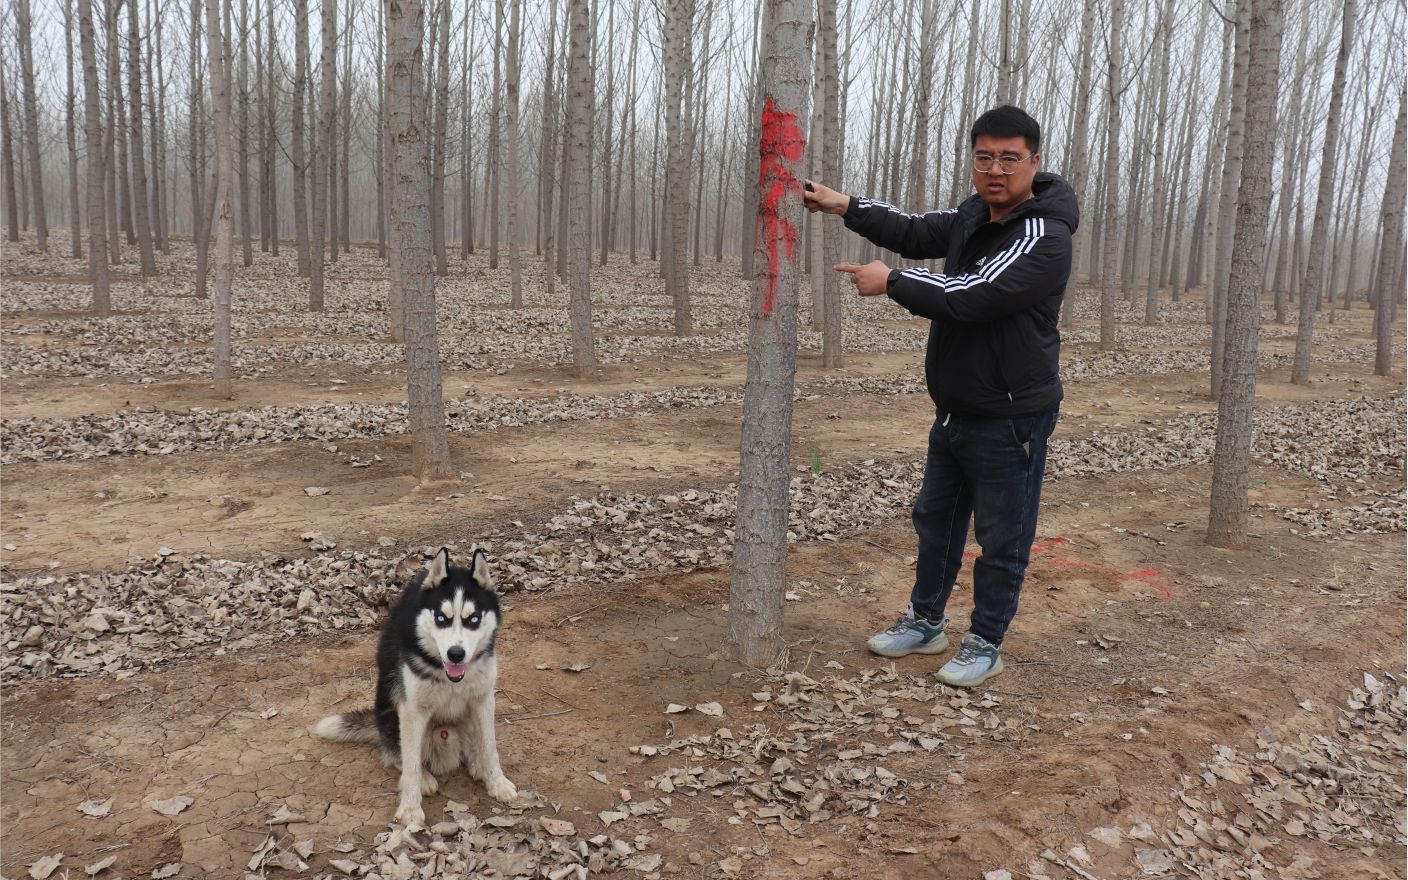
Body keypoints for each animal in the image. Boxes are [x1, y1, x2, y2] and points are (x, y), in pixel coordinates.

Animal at [313, 546, 518, 827]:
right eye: (441, 618)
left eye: (473, 619)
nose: (456, 654)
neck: (448, 675)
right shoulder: (412, 710)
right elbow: (410, 763)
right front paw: (410, 808)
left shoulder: (483, 699)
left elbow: (489, 746)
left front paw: (497, 782)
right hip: (390, 708)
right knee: (396, 754)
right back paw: (425, 777)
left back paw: (476, 764)